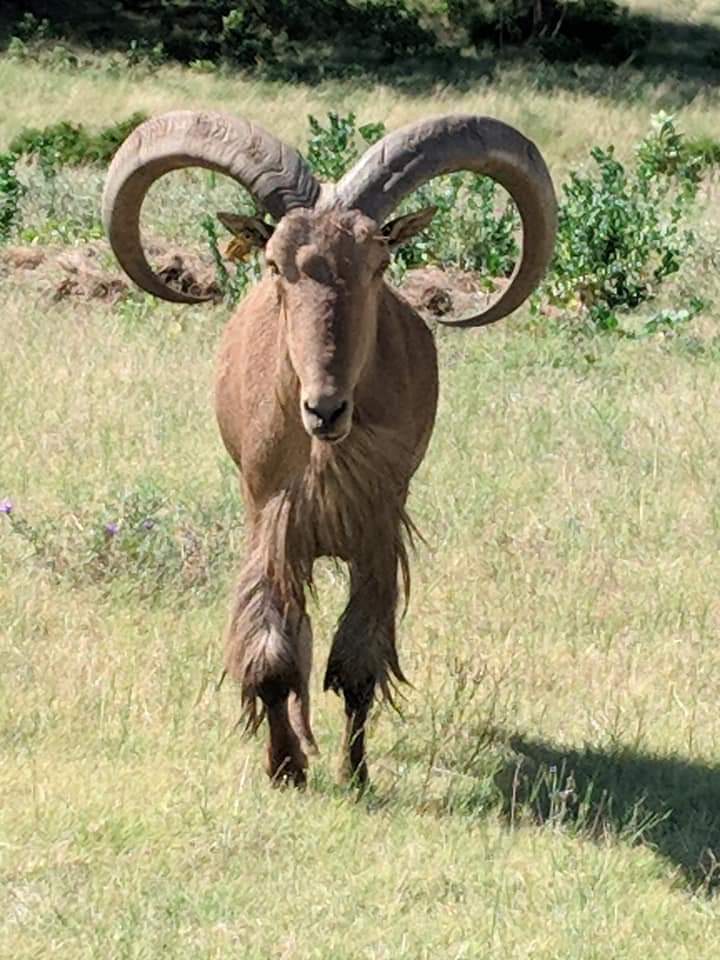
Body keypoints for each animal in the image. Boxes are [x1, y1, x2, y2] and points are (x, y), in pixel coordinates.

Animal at [102, 110, 557, 787]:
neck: (326, 454)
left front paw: (357, 774)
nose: (324, 409)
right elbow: (273, 653)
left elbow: (358, 663)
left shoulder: (377, 529)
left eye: (378, 263)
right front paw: (286, 767)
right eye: (276, 264)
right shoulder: (273, 521)